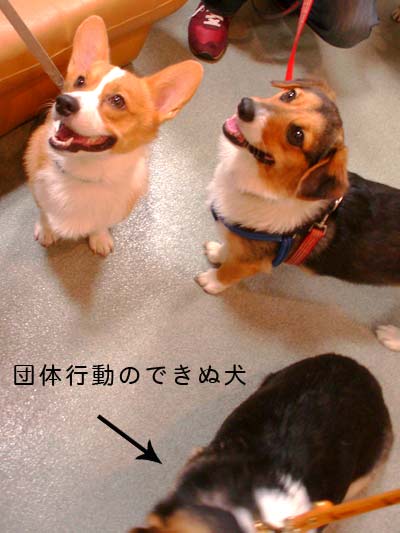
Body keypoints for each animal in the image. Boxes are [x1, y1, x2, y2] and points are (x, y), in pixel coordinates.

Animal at [25, 16, 203, 256]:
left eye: (118, 101)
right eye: (80, 81)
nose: (64, 102)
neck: (84, 173)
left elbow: (99, 224)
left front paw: (99, 238)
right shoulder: (38, 192)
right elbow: (44, 213)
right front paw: (46, 230)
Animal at [195, 79, 400, 351]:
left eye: (297, 135)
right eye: (290, 95)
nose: (245, 106)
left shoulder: (253, 262)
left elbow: (229, 272)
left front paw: (211, 280)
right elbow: (230, 248)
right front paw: (218, 252)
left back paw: (391, 336)